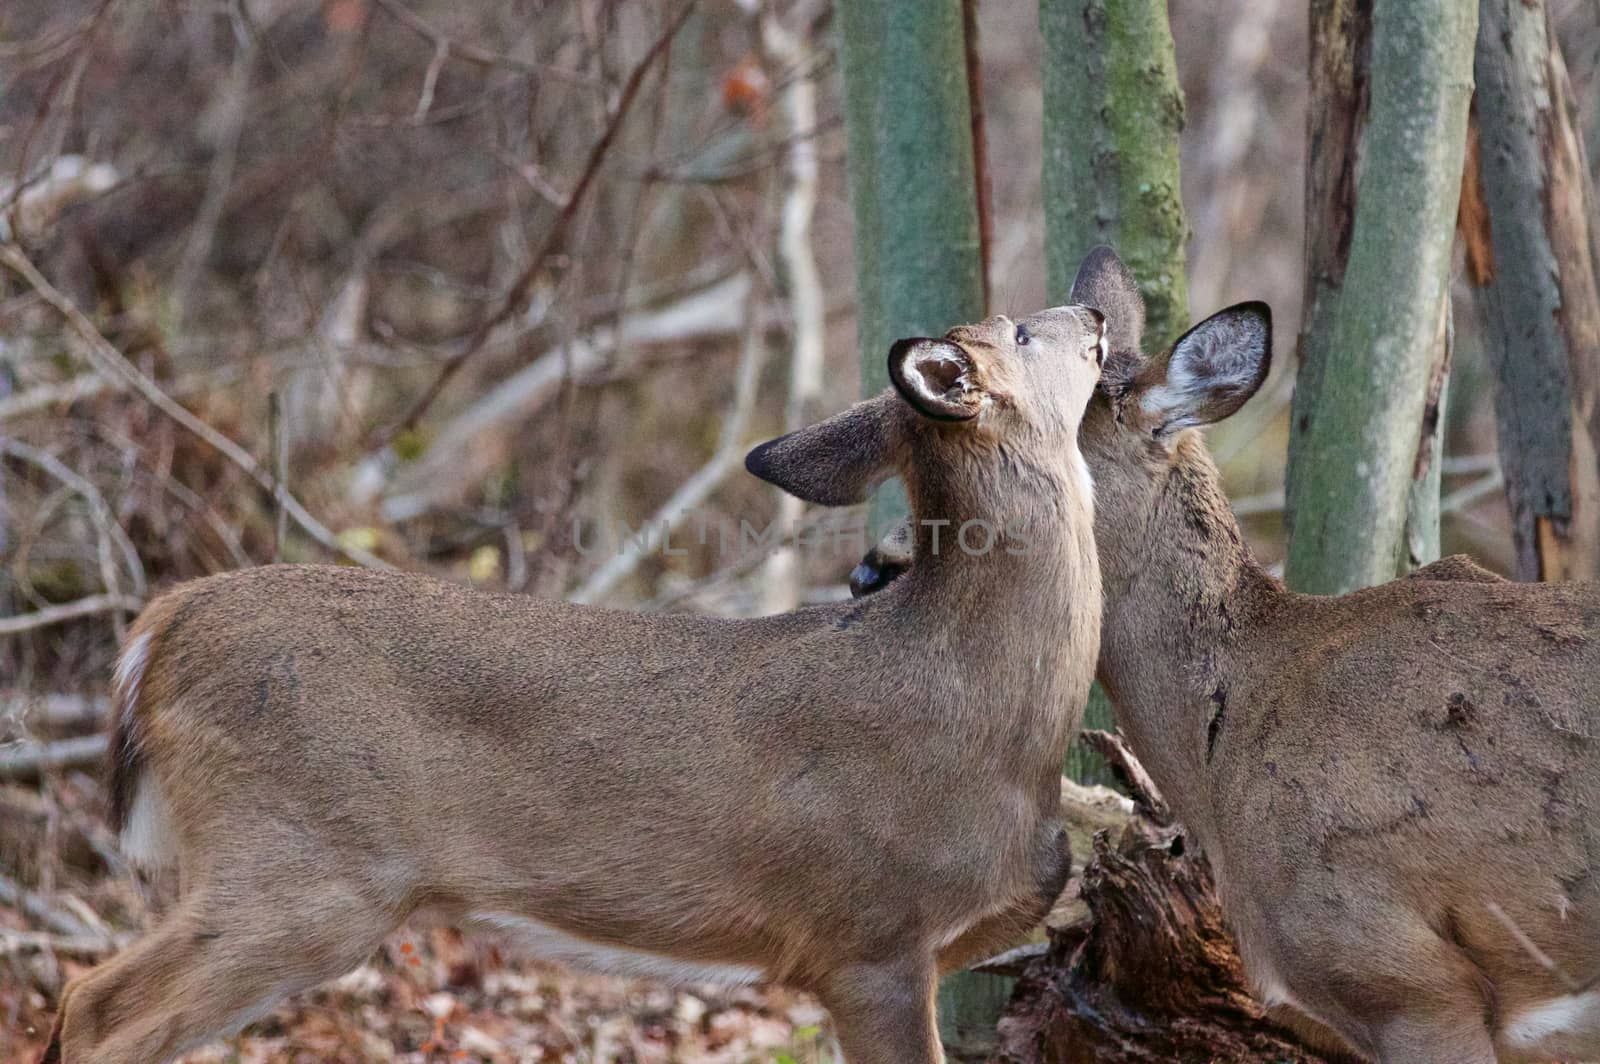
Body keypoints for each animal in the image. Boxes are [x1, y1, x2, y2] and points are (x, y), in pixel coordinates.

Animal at [43, 299, 1107, 1062]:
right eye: (1018, 329)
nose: (1097, 314)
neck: (988, 720)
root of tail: (159, 629)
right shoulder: (868, 936)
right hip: (300, 865)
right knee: (96, 1006)